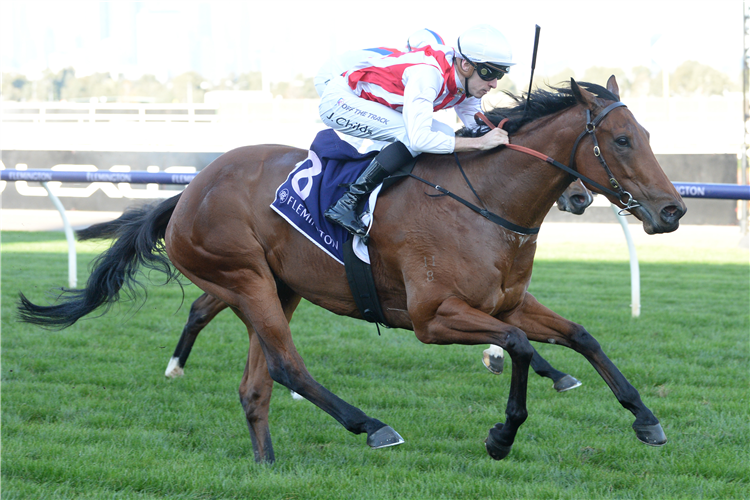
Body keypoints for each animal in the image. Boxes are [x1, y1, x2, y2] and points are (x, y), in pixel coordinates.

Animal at [17, 76, 688, 462]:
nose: (672, 209)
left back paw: (267, 462)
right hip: (244, 278)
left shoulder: (505, 301)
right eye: (622, 140)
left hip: (279, 285)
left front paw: (647, 420)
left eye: (650, 135)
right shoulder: (434, 317)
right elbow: (522, 346)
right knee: (286, 365)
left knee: (257, 381)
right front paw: (502, 436)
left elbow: (581, 336)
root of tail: (188, 191)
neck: (487, 202)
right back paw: (372, 426)